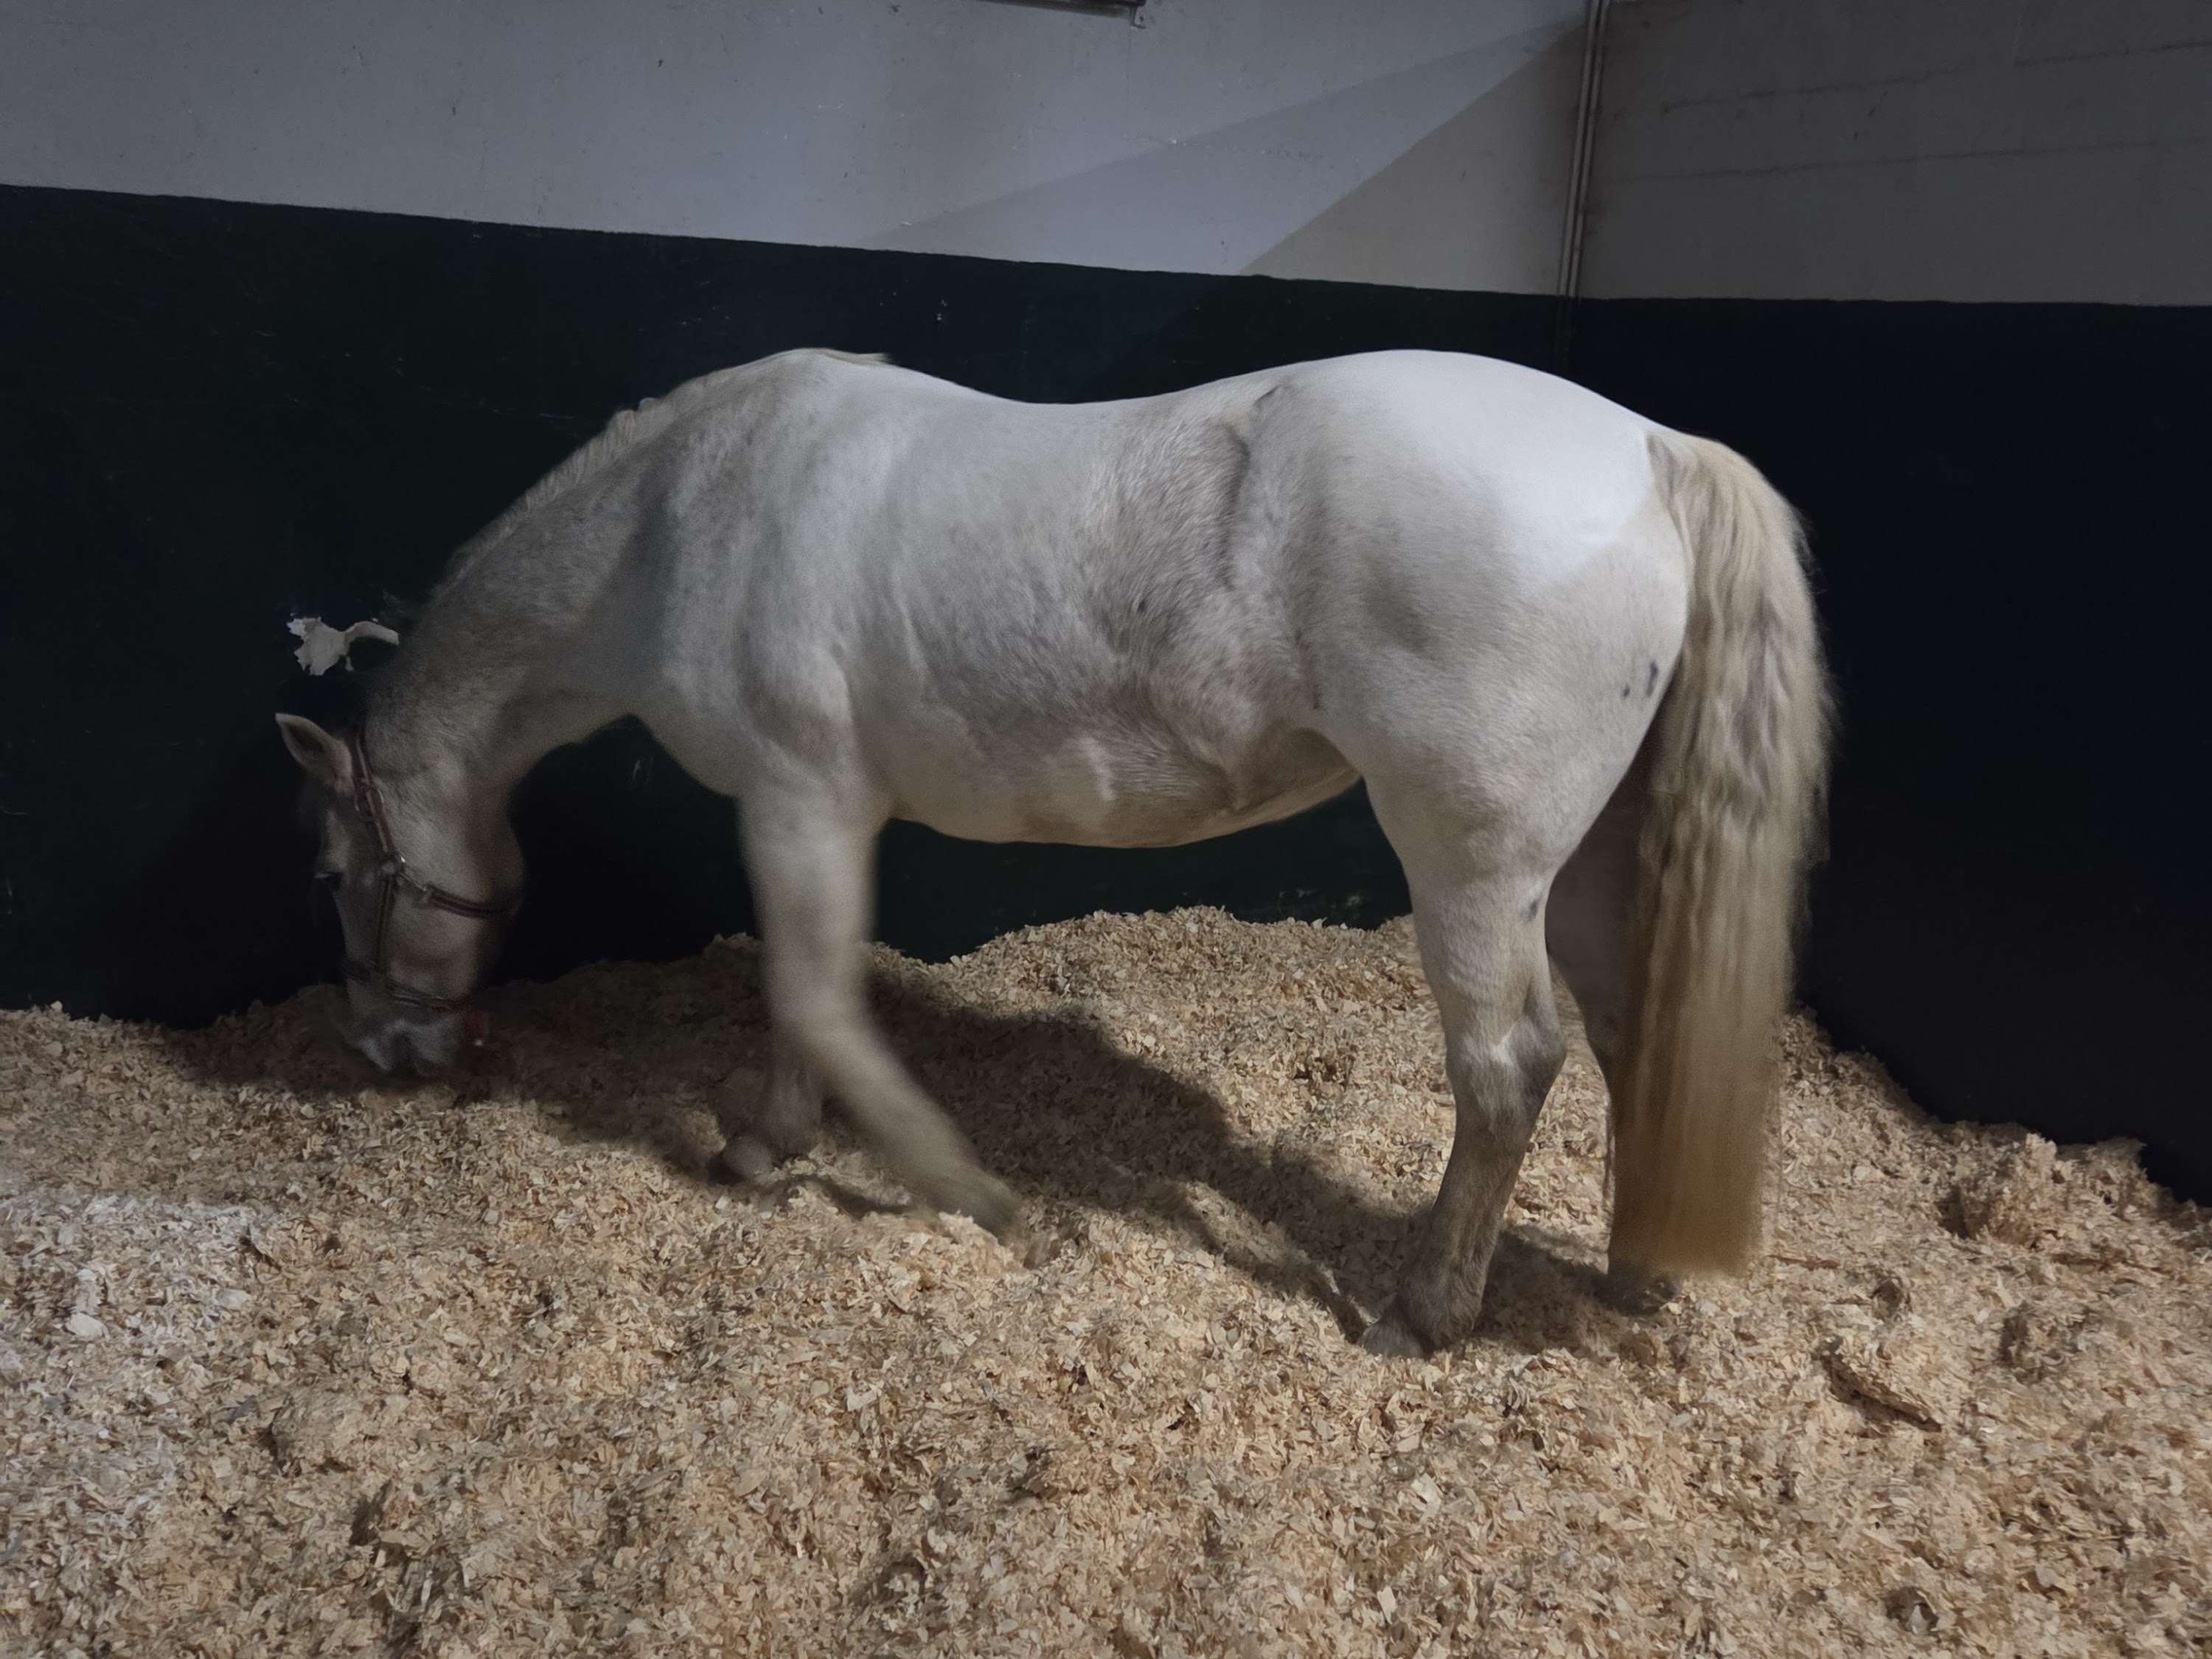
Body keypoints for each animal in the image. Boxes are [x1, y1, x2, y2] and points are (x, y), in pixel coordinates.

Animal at [276, 347, 1830, 1356]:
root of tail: (1646, 449)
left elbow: (814, 1000)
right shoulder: (809, 815)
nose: (384, 1051)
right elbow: (802, 1000)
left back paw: (1424, 1313)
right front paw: (782, 1139)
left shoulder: (798, 802)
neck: (680, 513)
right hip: (1594, 866)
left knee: (1507, 1067)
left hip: (1477, 867)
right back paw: (1637, 1277)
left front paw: (921, 1183)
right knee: (1632, 1031)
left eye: (338, 879)